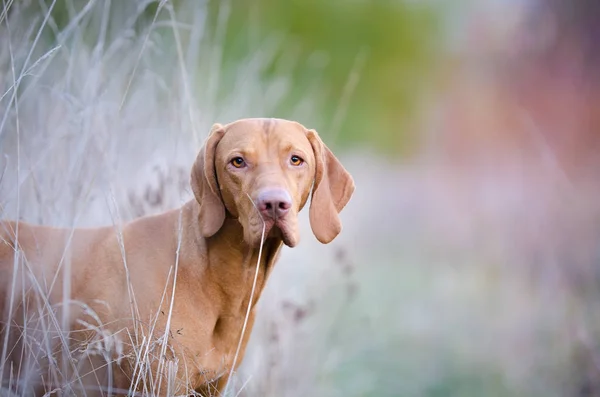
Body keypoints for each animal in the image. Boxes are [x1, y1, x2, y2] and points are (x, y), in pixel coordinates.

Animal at [0, 117, 356, 396]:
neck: (220, 279)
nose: (273, 205)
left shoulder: (212, 385)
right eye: (237, 162)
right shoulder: (161, 380)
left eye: (296, 160)